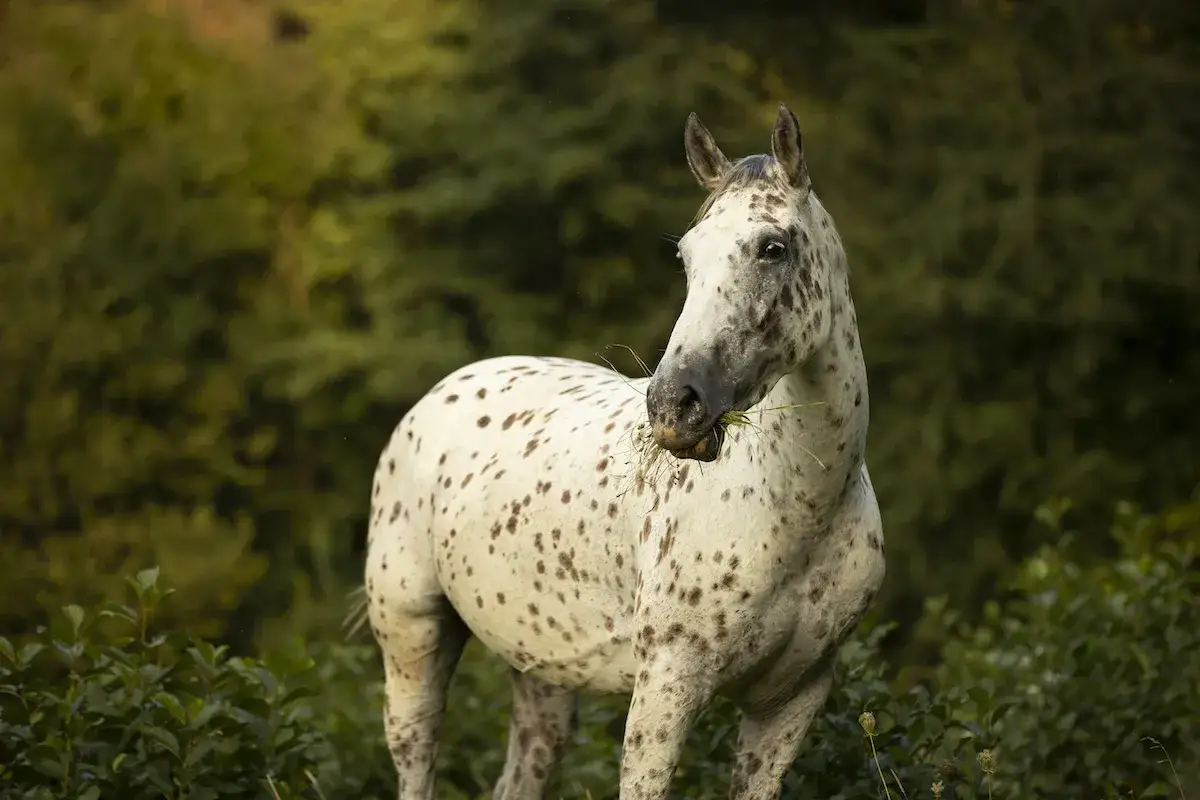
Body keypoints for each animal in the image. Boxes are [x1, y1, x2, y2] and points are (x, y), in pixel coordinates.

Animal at [364, 103, 886, 799]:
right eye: (688, 257)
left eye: (772, 247)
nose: (673, 407)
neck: (797, 508)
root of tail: (438, 395)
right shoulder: (666, 688)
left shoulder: (790, 703)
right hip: (412, 643)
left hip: (542, 674)